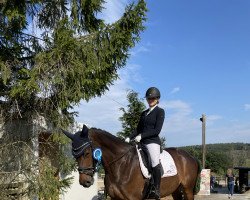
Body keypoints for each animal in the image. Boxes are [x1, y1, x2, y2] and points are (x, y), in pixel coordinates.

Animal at [62, 126, 201, 200]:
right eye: (74, 155)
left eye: (86, 153)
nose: (84, 182)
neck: (120, 165)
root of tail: (190, 156)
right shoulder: (115, 198)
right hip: (176, 189)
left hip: (188, 189)